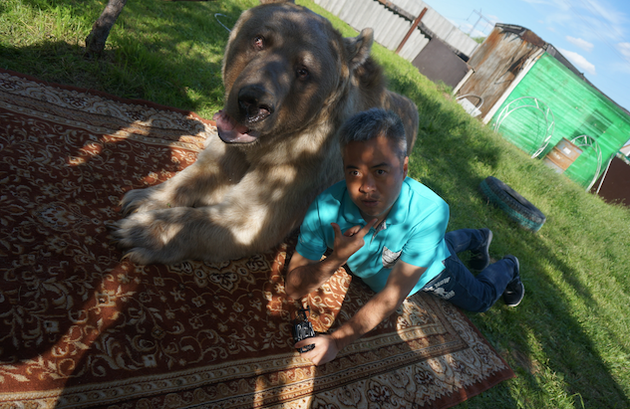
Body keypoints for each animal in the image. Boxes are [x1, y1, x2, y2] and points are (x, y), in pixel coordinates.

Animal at [115, 0, 420, 262]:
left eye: (303, 70)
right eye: (259, 39)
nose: (252, 102)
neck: (267, 143)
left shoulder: (299, 167)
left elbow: (246, 218)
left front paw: (142, 230)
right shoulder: (232, 149)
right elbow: (200, 173)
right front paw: (141, 198)